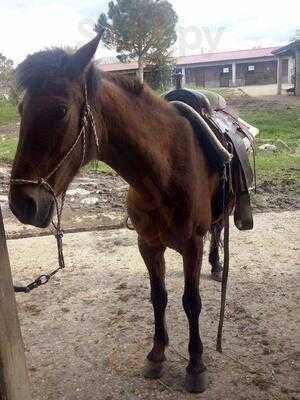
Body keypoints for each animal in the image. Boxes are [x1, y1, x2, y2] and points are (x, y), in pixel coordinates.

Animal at [8, 32, 232, 394]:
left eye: (60, 109)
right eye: (21, 109)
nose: (21, 204)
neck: (164, 170)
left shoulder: (191, 246)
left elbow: (191, 302)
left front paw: (196, 364)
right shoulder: (148, 244)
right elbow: (159, 297)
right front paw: (157, 354)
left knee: (219, 229)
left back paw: (217, 265)